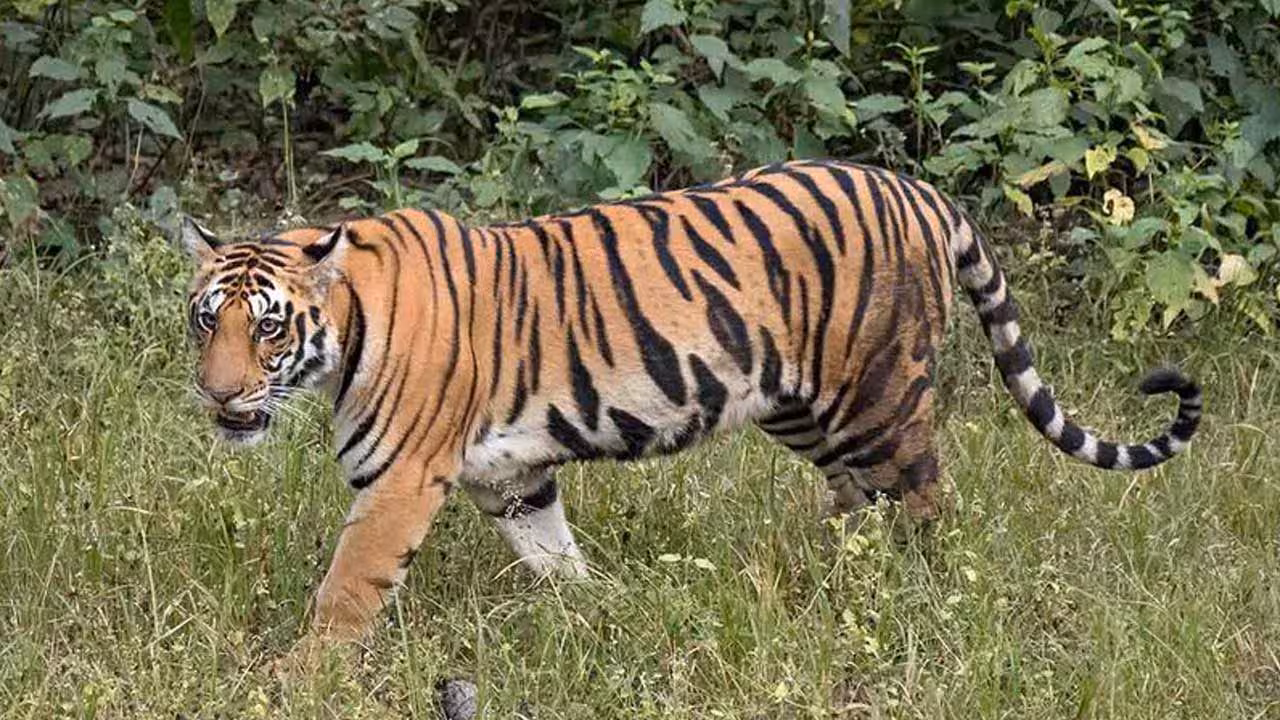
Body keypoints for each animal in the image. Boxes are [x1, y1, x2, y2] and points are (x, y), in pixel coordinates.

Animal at [180, 159, 1202, 644]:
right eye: (204, 322)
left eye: (267, 328)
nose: (218, 395)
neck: (345, 331)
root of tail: (917, 189)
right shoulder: (511, 478)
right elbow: (554, 556)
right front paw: (597, 615)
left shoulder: (399, 484)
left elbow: (345, 593)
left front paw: (305, 679)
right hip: (805, 408)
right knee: (857, 503)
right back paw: (830, 581)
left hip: (878, 399)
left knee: (927, 504)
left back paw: (930, 598)